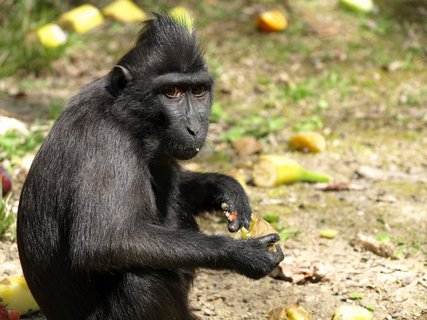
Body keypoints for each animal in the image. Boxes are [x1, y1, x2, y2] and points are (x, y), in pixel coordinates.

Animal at [17, 13, 284, 318]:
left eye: (198, 90)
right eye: (172, 92)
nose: (194, 128)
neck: (124, 114)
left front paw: (228, 189)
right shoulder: (108, 144)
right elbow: (103, 242)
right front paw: (243, 254)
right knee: (140, 275)